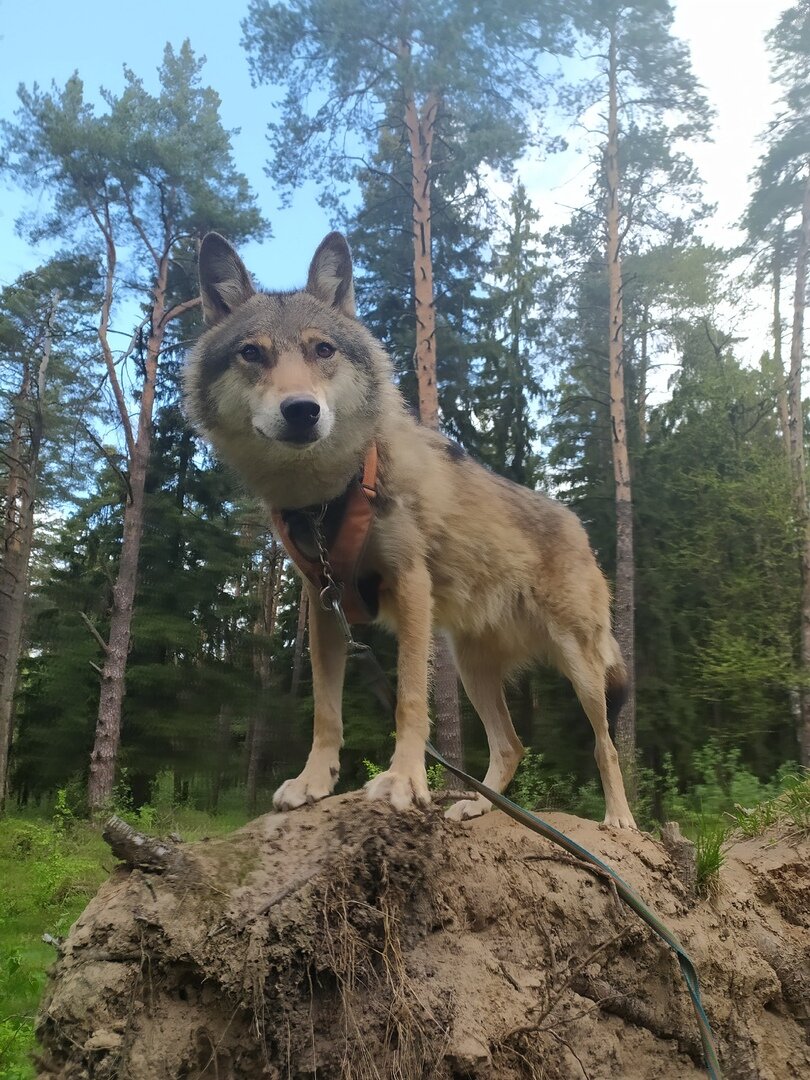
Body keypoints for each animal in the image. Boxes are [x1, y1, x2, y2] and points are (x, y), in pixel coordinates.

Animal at [184, 231, 637, 829]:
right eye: (252, 353)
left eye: (322, 350)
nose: (302, 410)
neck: (329, 495)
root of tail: (577, 527)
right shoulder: (323, 605)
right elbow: (325, 712)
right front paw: (312, 783)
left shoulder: (410, 587)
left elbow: (410, 703)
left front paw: (402, 782)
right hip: (473, 669)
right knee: (511, 745)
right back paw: (475, 807)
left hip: (580, 667)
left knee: (605, 744)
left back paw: (619, 820)